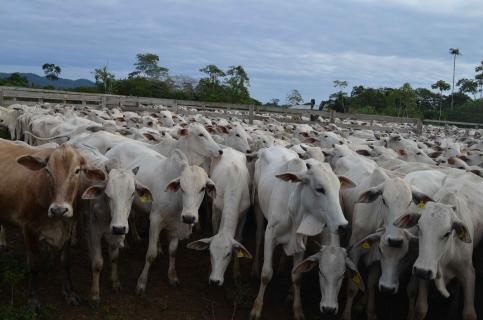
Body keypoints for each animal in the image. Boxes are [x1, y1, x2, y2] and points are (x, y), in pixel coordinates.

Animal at [0, 139, 105, 308]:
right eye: (48, 171)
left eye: (77, 171)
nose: (59, 210)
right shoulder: (28, 228)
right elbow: (34, 264)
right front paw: (33, 298)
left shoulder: (68, 227)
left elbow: (66, 261)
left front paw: (69, 292)